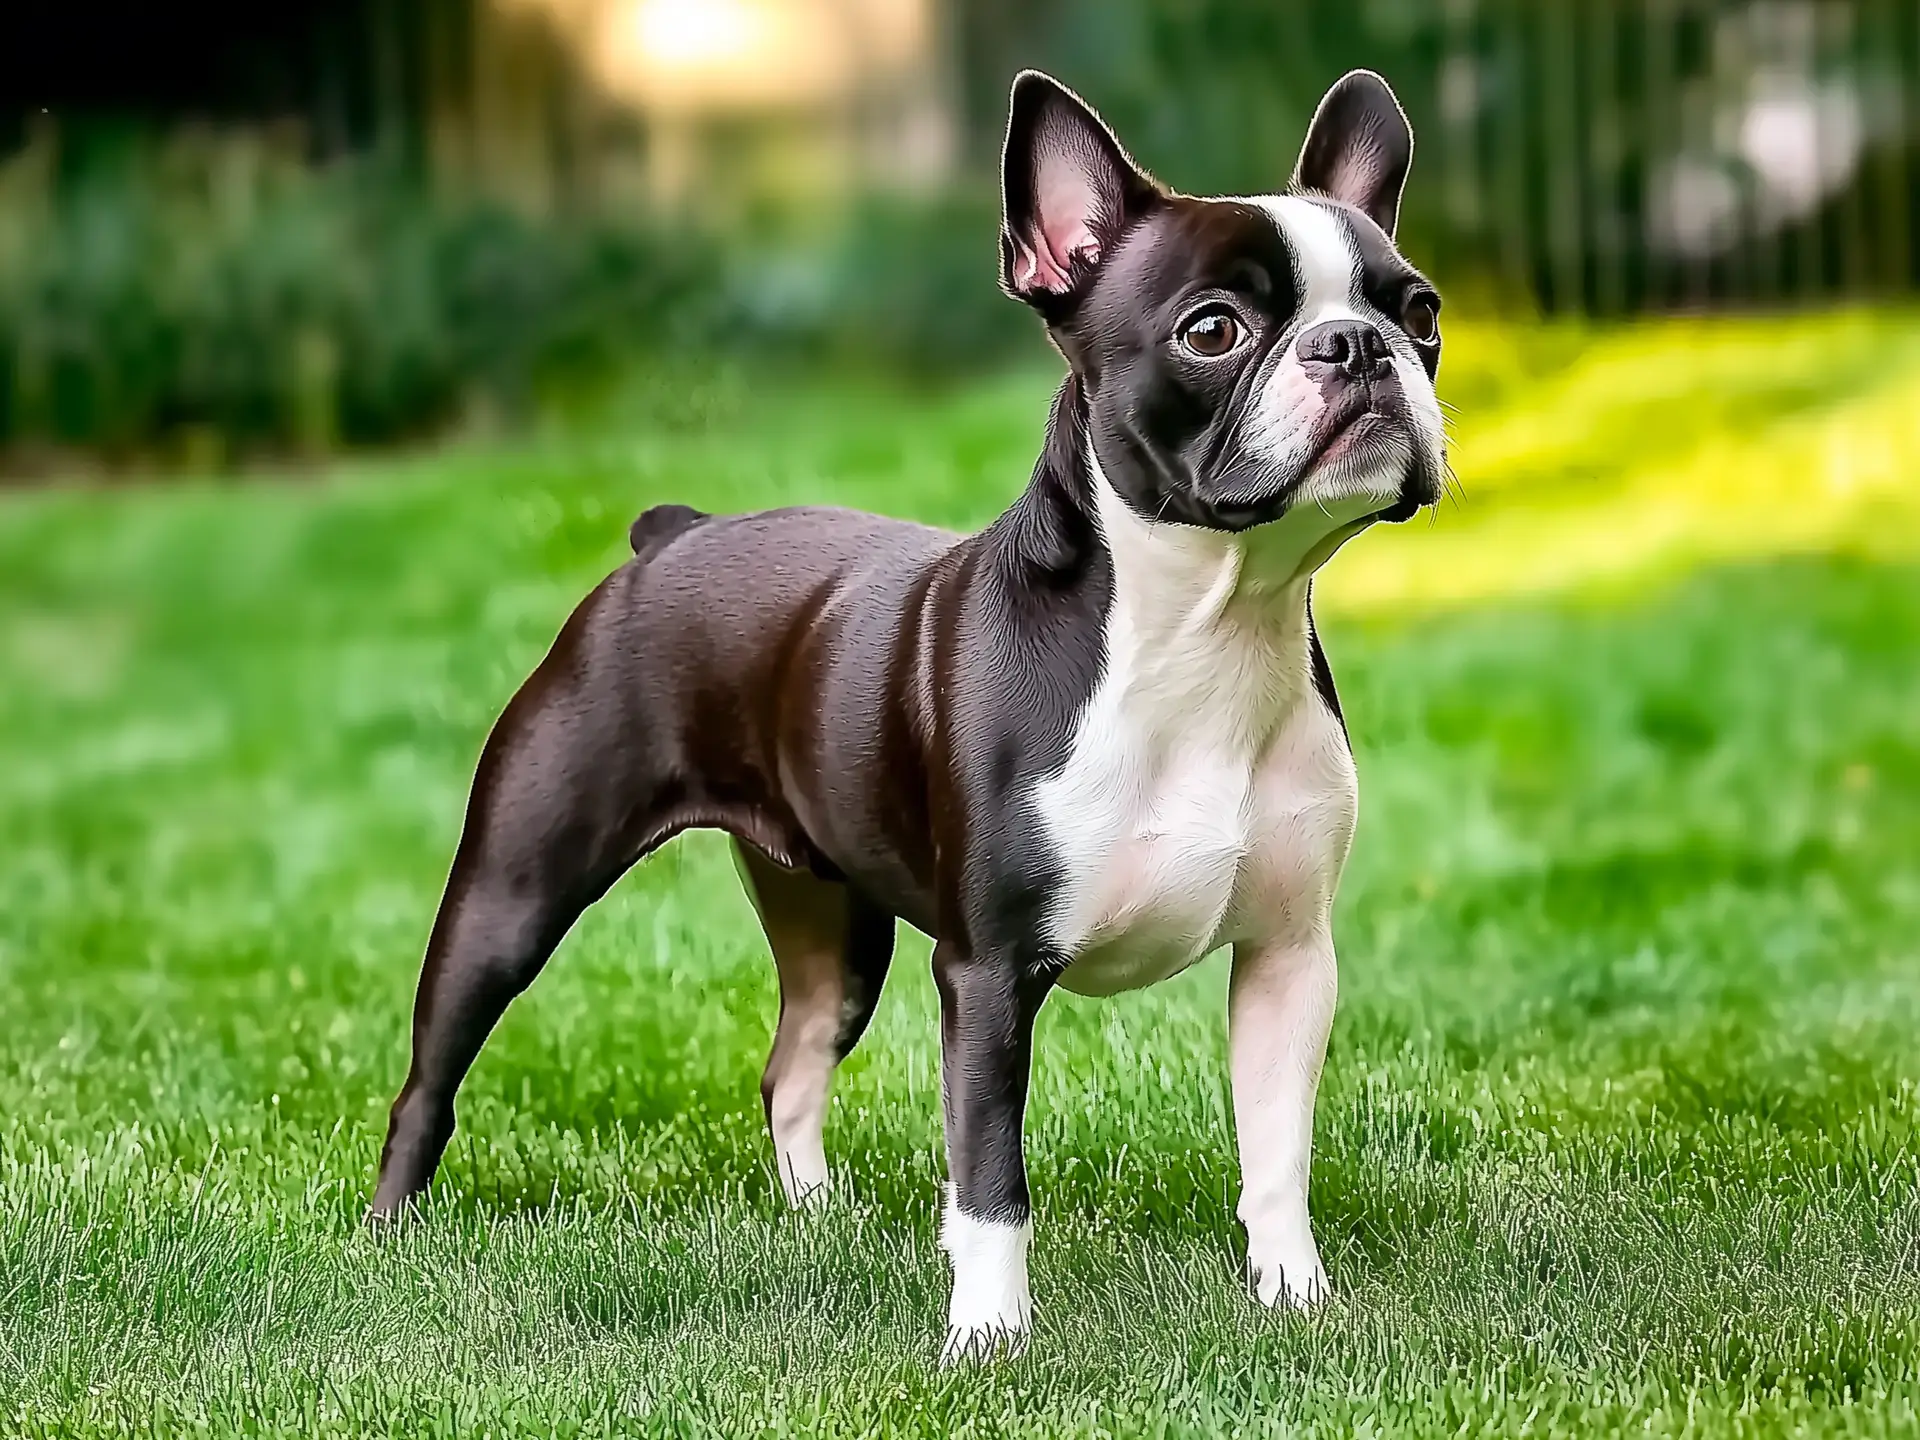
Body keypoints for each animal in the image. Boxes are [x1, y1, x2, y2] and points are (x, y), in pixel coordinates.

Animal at [370, 67, 1443, 1367]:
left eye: (1420, 312)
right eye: (1213, 330)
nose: (1360, 344)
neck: (1211, 627)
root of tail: (669, 537)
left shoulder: (1289, 957)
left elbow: (1276, 1149)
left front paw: (1293, 1297)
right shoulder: (985, 975)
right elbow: (990, 1176)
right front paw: (986, 1342)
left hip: (836, 928)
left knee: (791, 1062)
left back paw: (819, 1219)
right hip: (514, 892)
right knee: (431, 1075)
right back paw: (386, 1239)